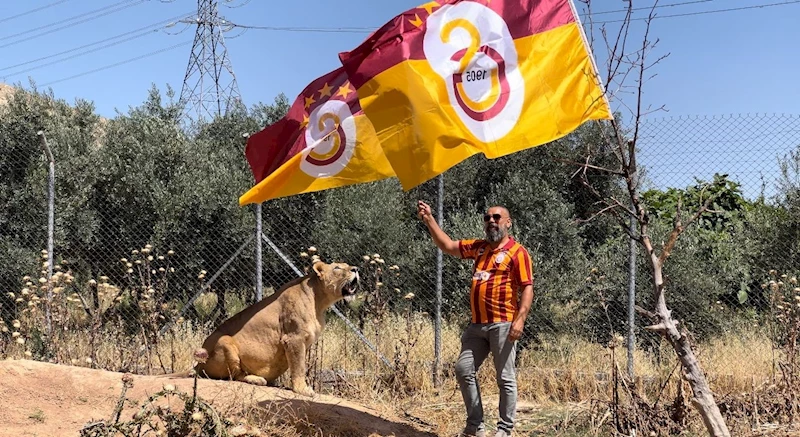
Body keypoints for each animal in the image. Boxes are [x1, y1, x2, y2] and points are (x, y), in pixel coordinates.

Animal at [179, 260, 362, 396]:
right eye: (337, 267)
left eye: (347, 265)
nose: (356, 269)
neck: (320, 302)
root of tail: (197, 366)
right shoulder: (293, 338)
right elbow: (299, 366)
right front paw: (302, 389)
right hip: (224, 341)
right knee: (234, 376)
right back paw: (257, 379)